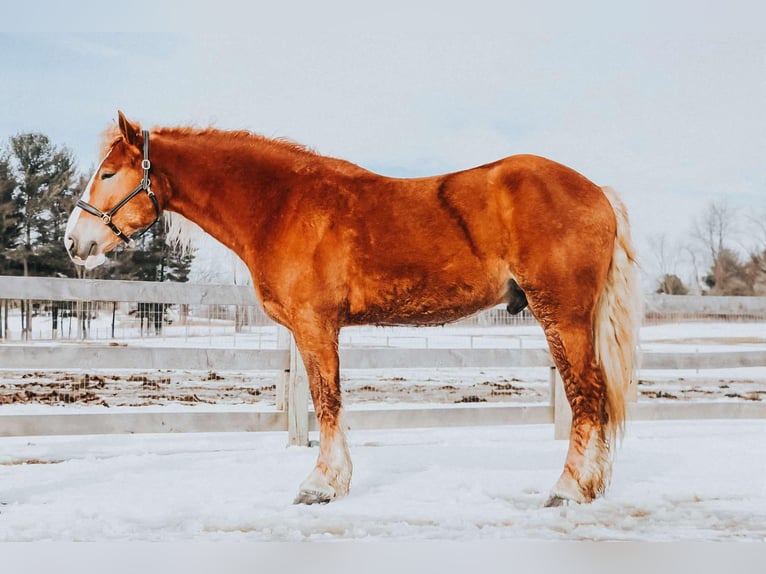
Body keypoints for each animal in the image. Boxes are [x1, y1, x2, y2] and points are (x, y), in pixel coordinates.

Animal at [64, 112, 640, 508]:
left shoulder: (315, 326)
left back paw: (568, 490)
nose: (74, 241)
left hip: (561, 315)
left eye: (109, 173)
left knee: (586, 396)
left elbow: (327, 401)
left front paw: (321, 485)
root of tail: (598, 192)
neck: (282, 205)